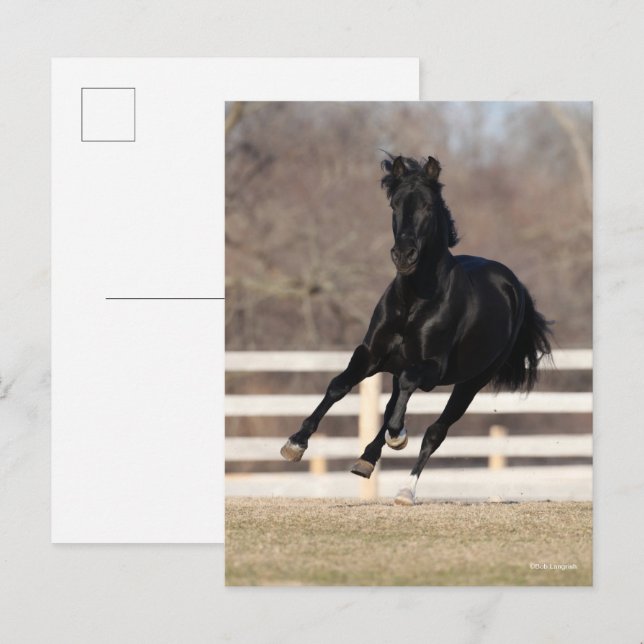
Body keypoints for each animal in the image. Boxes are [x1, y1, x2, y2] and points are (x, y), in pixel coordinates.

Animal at [280, 154, 552, 505]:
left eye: (427, 205)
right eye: (394, 204)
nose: (404, 255)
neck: (414, 301)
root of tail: (514, 285)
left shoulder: (433, 368)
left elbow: (407, 398)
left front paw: (399, 437)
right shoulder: (371, 354)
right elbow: (339, 386)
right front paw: (295, 443)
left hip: (472, 382)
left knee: (435, 430)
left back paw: (405, 489)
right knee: (390, 408)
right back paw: (365, 460)